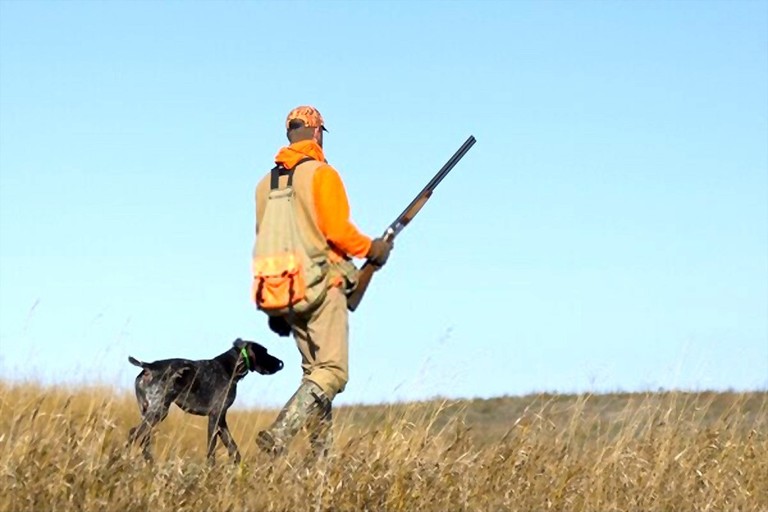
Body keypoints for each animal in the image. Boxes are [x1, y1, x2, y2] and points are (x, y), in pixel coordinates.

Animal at [127, 338, 284, 462]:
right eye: (265, 352)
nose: (281, 363)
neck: (229, 368)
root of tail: (148, 366)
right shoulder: (215, 416)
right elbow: (211, 451)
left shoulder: (221, 419)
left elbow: (233, 449)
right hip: (159, 411)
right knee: (135, 434)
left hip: (150, 412)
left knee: (143, 439)